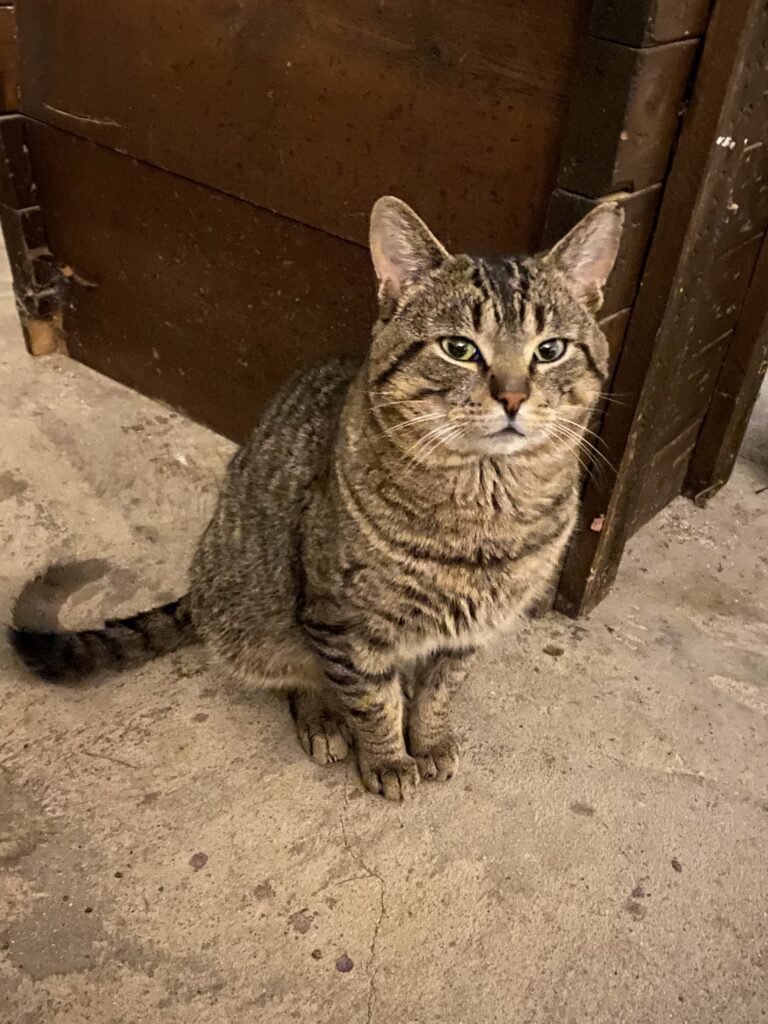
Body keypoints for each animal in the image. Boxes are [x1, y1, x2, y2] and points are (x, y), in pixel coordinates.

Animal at [12, 193, 622, 798]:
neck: (487, 503)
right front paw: (388, 757)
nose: (513, 397)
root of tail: (200, 582)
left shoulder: (470, 632)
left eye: (550, 349)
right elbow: (371, 699)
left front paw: (427, 740)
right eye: (459, 348)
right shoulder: (341, 621)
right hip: (257, 609)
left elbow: (439, 691)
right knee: (301, 672)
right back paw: (325, 718)